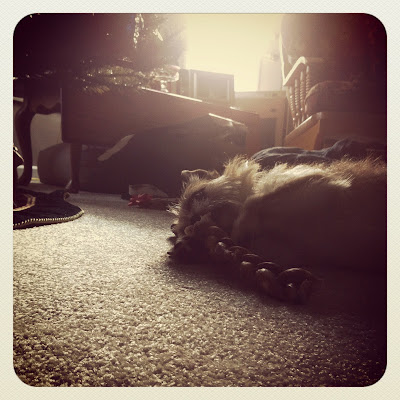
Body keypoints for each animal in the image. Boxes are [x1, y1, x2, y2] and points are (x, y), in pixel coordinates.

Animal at [169, 156, 387, 274]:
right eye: (185, 229)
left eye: (198, 195)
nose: (194, 220)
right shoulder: (288, 253)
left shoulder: (324, 185)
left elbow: (252, 201)